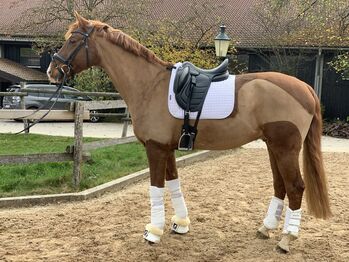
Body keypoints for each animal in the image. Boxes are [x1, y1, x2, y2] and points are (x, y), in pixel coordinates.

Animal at [48, 13, 328, 253]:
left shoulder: (155, 148)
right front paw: (180, 224)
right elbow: (174, 184)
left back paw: (286, 239)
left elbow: (156, 188)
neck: (150, 85)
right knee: (280, 185)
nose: (52, 71)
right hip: (273, 147)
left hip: (285, 148)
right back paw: (266, 228)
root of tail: (305, 88)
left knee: (295, 187)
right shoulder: (168, 148)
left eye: (73, 40)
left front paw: (153, 232)